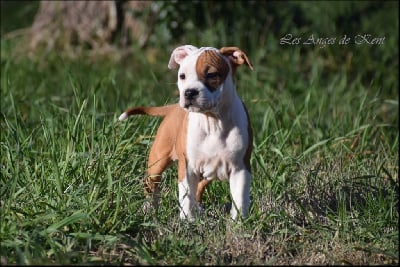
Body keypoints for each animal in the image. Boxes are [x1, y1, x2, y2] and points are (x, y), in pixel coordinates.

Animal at [119, 45, 255, 222]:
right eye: (182, 76)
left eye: (211, 75)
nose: (189, 92)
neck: (213, 121)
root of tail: (173, 108)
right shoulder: (187, 167)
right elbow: (186, 195)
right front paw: (187, 220)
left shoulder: (240, 168)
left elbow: (240, 198)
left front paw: (238, 222)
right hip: (157, 161)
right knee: (153, 186)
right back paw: (149, 209)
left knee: (199, 187)